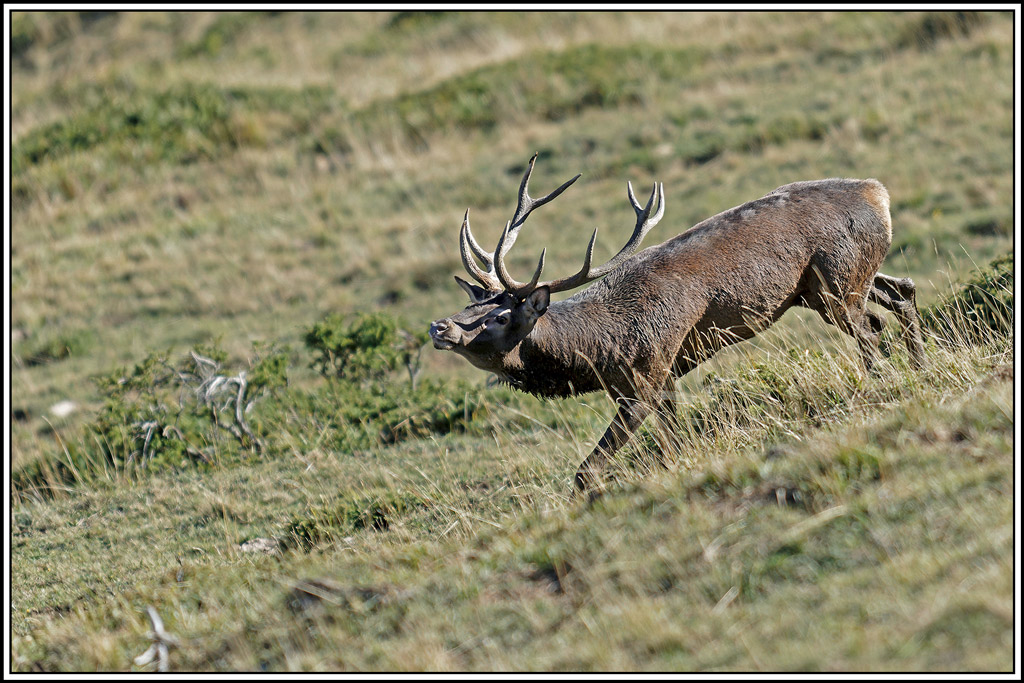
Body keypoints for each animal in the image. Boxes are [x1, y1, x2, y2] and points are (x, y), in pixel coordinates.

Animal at [429, 153, 925, 497]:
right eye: (471, 305)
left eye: (500, 316)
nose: (440, 326)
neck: (598, 350)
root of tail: (877, 192)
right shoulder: (654, 380)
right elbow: (675, 446)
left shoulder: (647, 375)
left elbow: (587, 471)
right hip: (833, 283)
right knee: (903, 291)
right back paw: (920, 369)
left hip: (835, 281)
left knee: (872, 329)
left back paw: (882, 385)